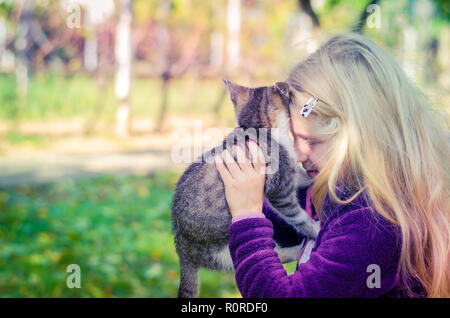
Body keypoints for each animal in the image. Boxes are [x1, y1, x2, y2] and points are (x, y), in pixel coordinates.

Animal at [171, 79, 318, 298]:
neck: (259, 128)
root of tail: (181, 248)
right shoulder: (280, 192)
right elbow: (298, 217)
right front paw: (315, 229)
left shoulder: (290, 171)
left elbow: (301, 175)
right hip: (224, 247)